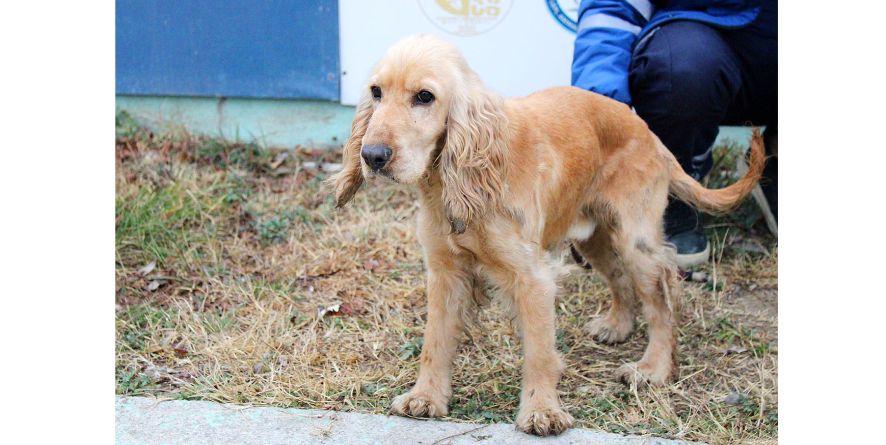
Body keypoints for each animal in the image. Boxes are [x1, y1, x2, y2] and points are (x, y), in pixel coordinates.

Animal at [332, 35, 764, 438]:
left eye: (424, 96)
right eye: (376, 92)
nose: (372, 156)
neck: (458, 177)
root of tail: (649, 133)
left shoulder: (532, 278)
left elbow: (539, 353)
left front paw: (542, 412)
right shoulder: (445, 273)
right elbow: (434, 342)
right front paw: (425, 397)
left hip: (635, 239)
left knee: (661, 300)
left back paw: (652, 368)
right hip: (592, 237)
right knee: (618, 278)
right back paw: (617, 326)